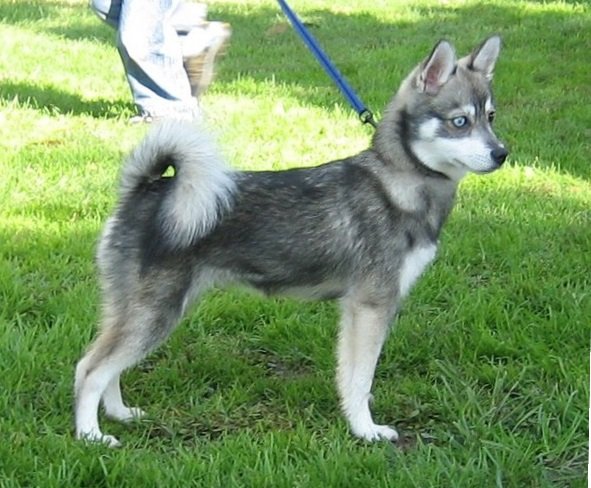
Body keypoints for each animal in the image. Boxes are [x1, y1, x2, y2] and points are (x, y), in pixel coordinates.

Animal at [74, 35, 508, 446]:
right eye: (459, 121)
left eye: (490, 117)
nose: (502, 153)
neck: (396, 182)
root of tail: (146, 188)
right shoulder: (371, 305)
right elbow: (361, 379)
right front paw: (366, 431)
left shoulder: (355, 308)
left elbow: (350, 376)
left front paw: (356, 422)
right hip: (156, 311)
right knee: (91, 368)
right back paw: (91, 435)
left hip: (134, 309)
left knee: (106, 364)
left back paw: (119, 413)